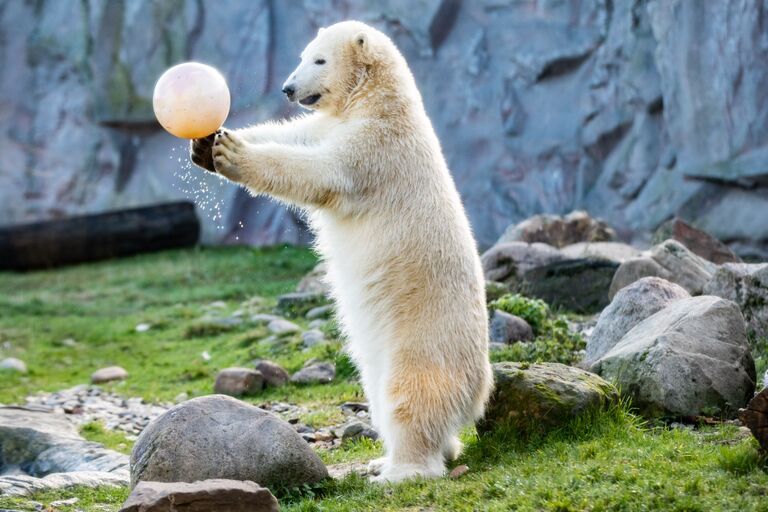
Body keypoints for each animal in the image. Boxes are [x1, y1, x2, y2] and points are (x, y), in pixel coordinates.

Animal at [190, 21, 492, 484]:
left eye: (319, 60)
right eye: (303, 54)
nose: (288, 87)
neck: (379, 102)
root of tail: (479, 391)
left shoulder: (375, 147)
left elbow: (321, 171)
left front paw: (233, 153)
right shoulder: (334, 125)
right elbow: (296, 133)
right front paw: (208, 145)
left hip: (424, 342)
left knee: (410, 398)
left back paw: (399, 472)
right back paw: (390, 458)